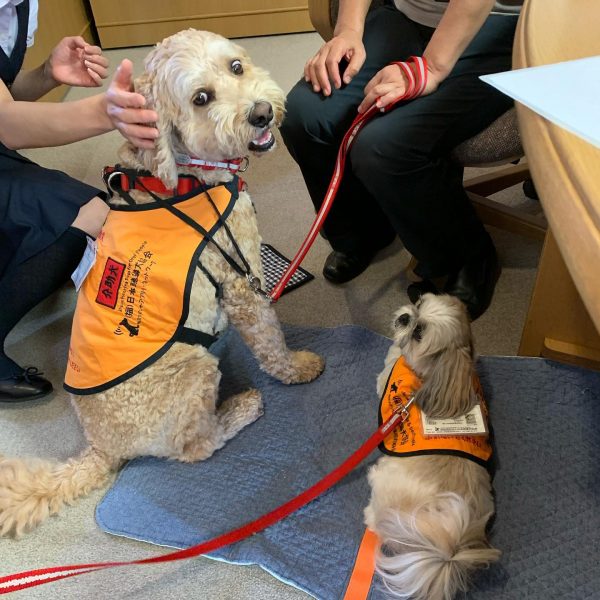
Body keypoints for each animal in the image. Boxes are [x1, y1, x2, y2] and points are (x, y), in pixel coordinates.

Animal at [0, 28, 324, 536]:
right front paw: (296, 368)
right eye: (201, 98)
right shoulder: (240, 280)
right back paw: (239, 411)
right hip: (192, 372)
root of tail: (102, 449)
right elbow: (270, 341)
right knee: (196, 447)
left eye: (236, 67)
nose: (261, 113)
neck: (187, 176)